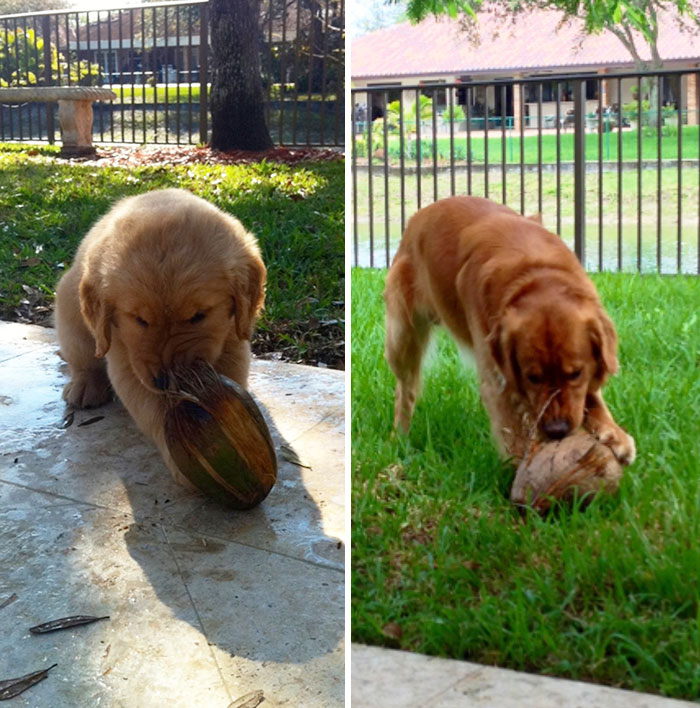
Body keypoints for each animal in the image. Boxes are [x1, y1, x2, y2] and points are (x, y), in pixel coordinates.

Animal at [54, 188, 266, 486]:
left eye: (199, 315)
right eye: (139, 319)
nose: (166, 382)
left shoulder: (233, 338)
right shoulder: (126, 357)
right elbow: (153, 407)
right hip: (70, 310)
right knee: (83, 358)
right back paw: (84, 385)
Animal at [386, 196, 636, 468]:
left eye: (575, 374)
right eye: (532, 377)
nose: (557, 430)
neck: (536, 274)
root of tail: (416, 217)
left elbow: (592, 396)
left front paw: (614, 433)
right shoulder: (497, 379)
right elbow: (513, 431)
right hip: (401, 338)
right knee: (405, 390)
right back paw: (399, 438)